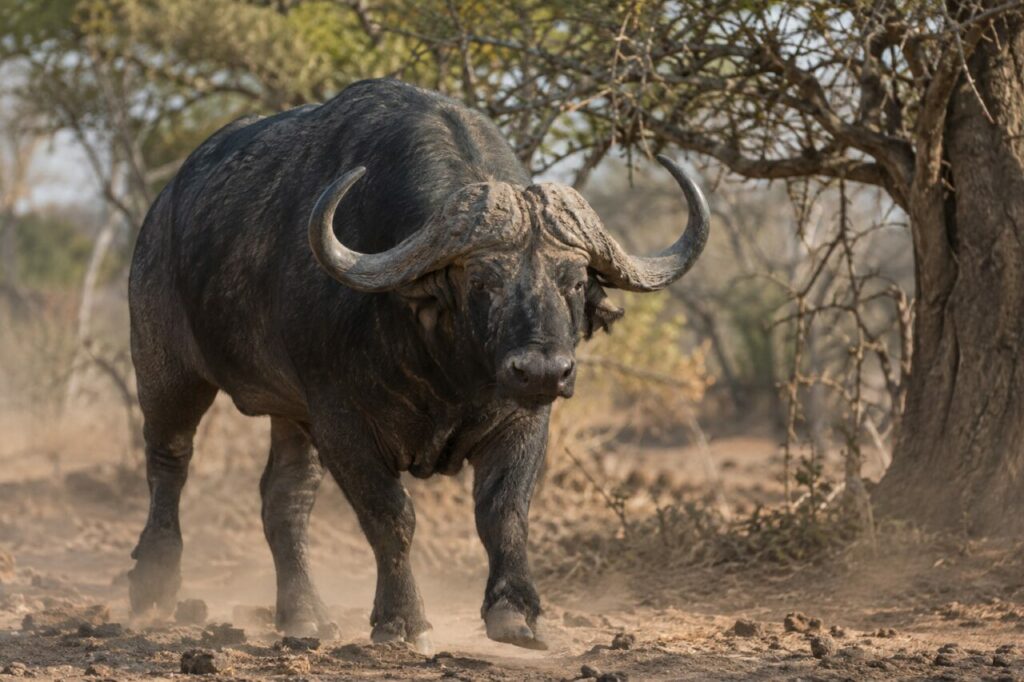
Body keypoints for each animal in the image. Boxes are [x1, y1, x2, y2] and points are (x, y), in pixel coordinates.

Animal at [127, 78, 708, 652]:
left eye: (574, 281)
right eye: (482, 281)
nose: (544, 371)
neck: (445, 367)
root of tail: (161, 208)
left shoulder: (524, 418)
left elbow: (504, 512)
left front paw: (516, 613)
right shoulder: (341, 422)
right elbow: (391, 516)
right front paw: (402, 620)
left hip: (292, 415)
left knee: (284, 499)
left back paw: (305, 615)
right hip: (166, 370)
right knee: (169, 460)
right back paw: (154, 582)